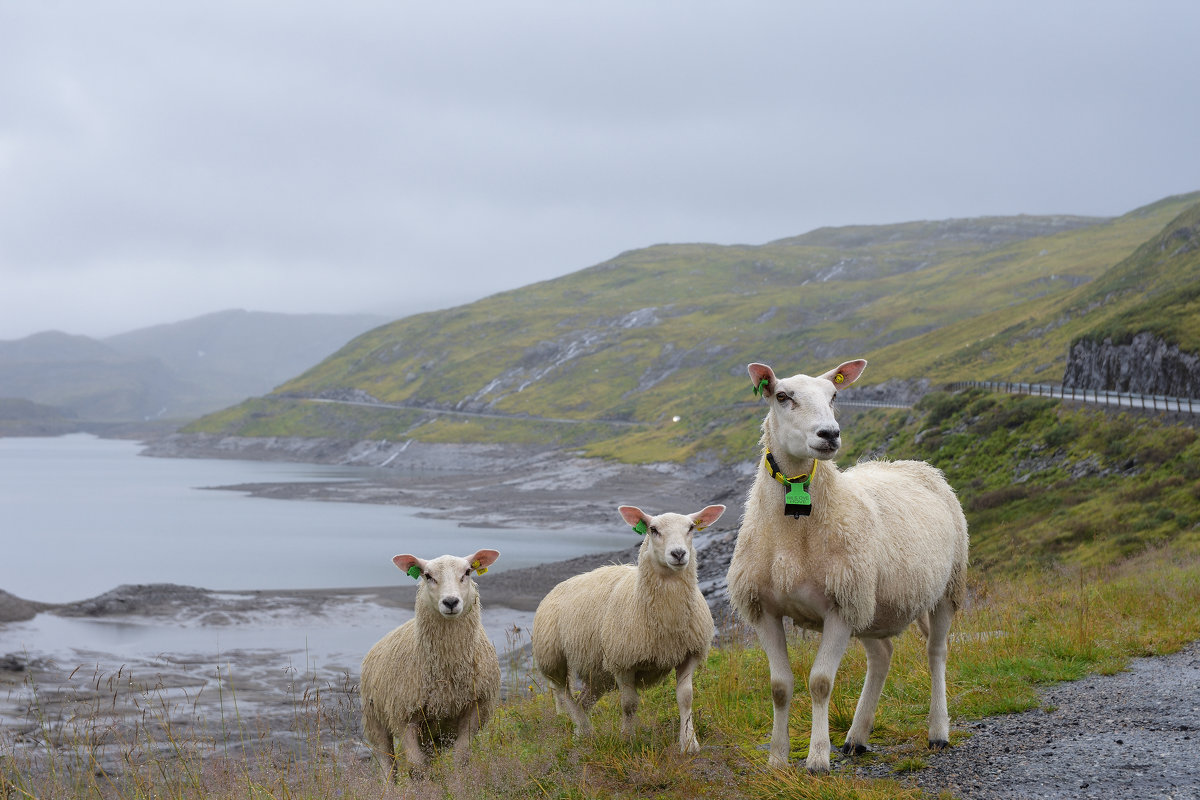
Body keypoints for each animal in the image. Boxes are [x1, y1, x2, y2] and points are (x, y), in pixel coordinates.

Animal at [360, 546, 501, 777]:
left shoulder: (476, 708)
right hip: (375, 720)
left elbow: (461, 757)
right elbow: (416, 766)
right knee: (387, 764)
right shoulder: (404, 715)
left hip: (432, 732)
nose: (451, 602)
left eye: (468, 572)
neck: (447, 670)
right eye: (427, 575)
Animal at [532, 503, 720, 753]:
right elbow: (629, 704)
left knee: (583, 701)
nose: (679, 554)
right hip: (552, 658)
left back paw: (581, 735)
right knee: (566, 696)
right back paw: (585, 729)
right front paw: (628, 740)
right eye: (653, 529)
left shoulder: (688, 653)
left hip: (598, 673)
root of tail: (561, 585)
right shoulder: (622, 662)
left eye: (691, 527)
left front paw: (689, 743)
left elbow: (685, 697)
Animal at [724, 359, 969, 772]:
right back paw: (857, 737)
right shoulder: (765, 609)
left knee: (936, 653)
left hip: (945, 587)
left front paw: (817, 758)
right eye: (782, 396)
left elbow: (820, 682)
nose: (830, 433)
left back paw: (938, 731)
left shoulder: (838, 606)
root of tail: (916, 465)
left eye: (835, 395)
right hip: (872, 604)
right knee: (882, 656)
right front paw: (777, 759)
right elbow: (779, 688)